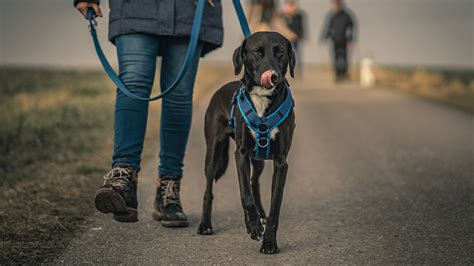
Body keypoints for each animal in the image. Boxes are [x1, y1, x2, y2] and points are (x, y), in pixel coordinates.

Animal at [197, 31, 296, 254]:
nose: (273, 75)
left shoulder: (281, 162)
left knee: (254, 182)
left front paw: (269, 241)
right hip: (213, 152)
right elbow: (244, 194)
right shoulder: (240, 154)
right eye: (256, 52)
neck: (262, 98)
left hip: (257, 159)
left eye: (280, 52)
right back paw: (206, 224)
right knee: (210, 189)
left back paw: (259, 217)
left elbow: (274, 204)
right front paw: (253, 226)